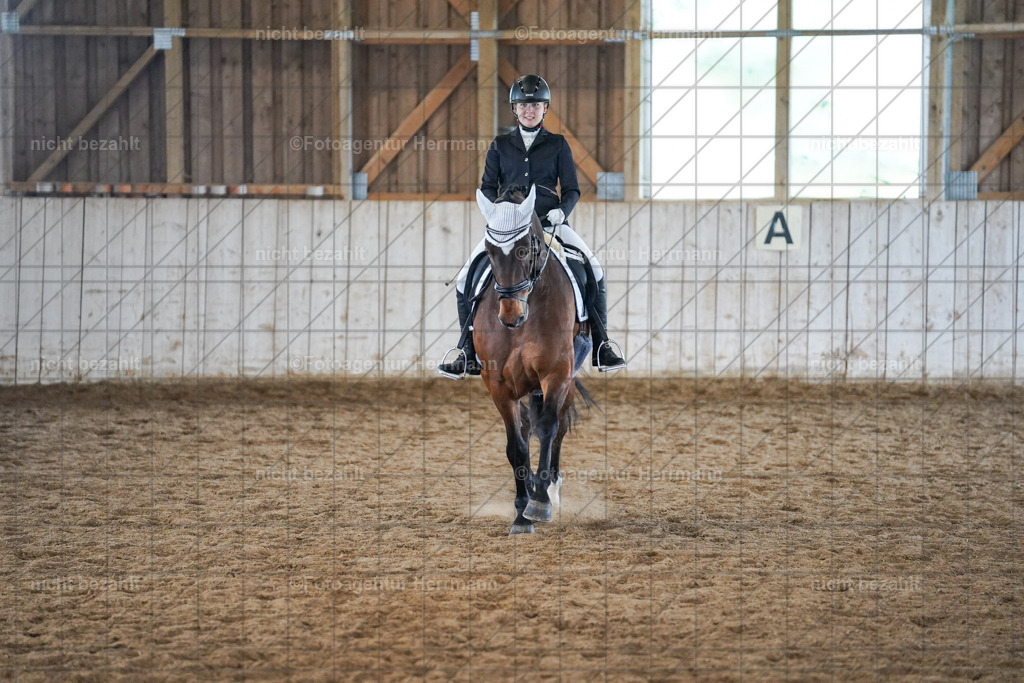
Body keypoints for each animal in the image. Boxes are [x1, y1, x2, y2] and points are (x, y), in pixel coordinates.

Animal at [473, 184, 597, 535]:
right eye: (490, 250)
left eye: (525, 249)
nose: (510, 316)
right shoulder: (498, 385)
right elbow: (516, 446)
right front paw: (520, 514)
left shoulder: (556, 374)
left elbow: (549, 429)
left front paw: (539, 503)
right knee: (529, 428)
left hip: (563, 382)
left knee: (557, 427)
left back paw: (551, 491)